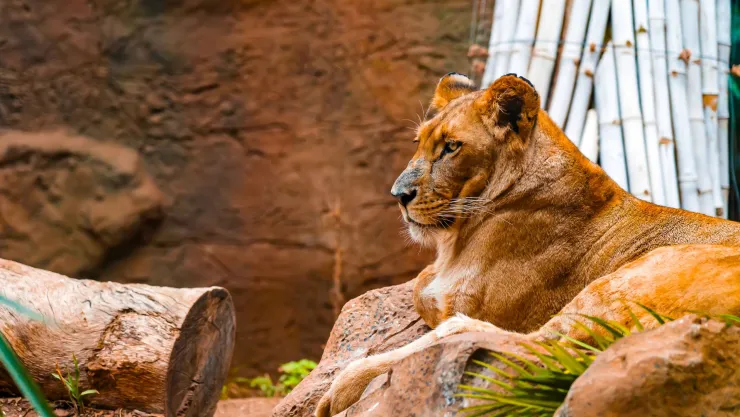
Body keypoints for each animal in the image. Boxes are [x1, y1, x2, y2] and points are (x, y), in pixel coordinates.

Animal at [315, 73, 740, 417]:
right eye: (419, 143)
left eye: (451, 147)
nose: (398, 195)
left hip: (630, 279)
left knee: (522, 344)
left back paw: (343, 386)